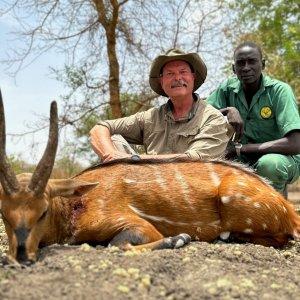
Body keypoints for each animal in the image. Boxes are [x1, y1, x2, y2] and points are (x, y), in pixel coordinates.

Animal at [0, 91, 300, 264]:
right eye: (4, 213)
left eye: (43, 211)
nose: (20, 257)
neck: (74, 208)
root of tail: (288, 210)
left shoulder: (136, 225)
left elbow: (116, 245)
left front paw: (178, 239)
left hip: (234, 198)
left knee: (284, 239)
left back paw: (227, 238)